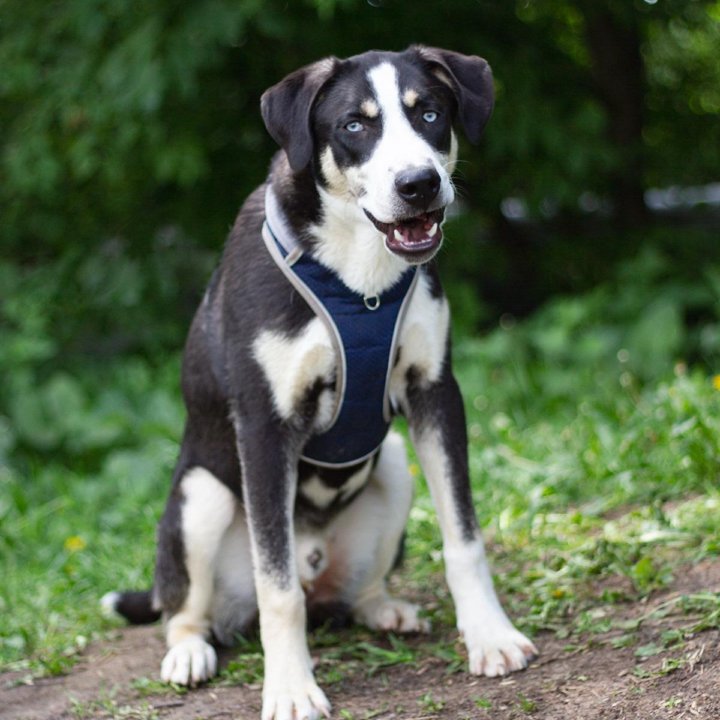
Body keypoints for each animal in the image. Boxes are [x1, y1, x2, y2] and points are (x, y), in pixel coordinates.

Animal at [104, 45, 536, 720]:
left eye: (430, 113)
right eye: (354, 125)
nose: (418, 184)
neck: (359, 277)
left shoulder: (436, 393)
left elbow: (463, 537)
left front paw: (490, 636)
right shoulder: (264, 426)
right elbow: (277, 587)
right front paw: (290, 688)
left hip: (392, 464)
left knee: (351, 593)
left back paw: (383, 607)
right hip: (201, 497)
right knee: (189, 610)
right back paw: (190, 651)